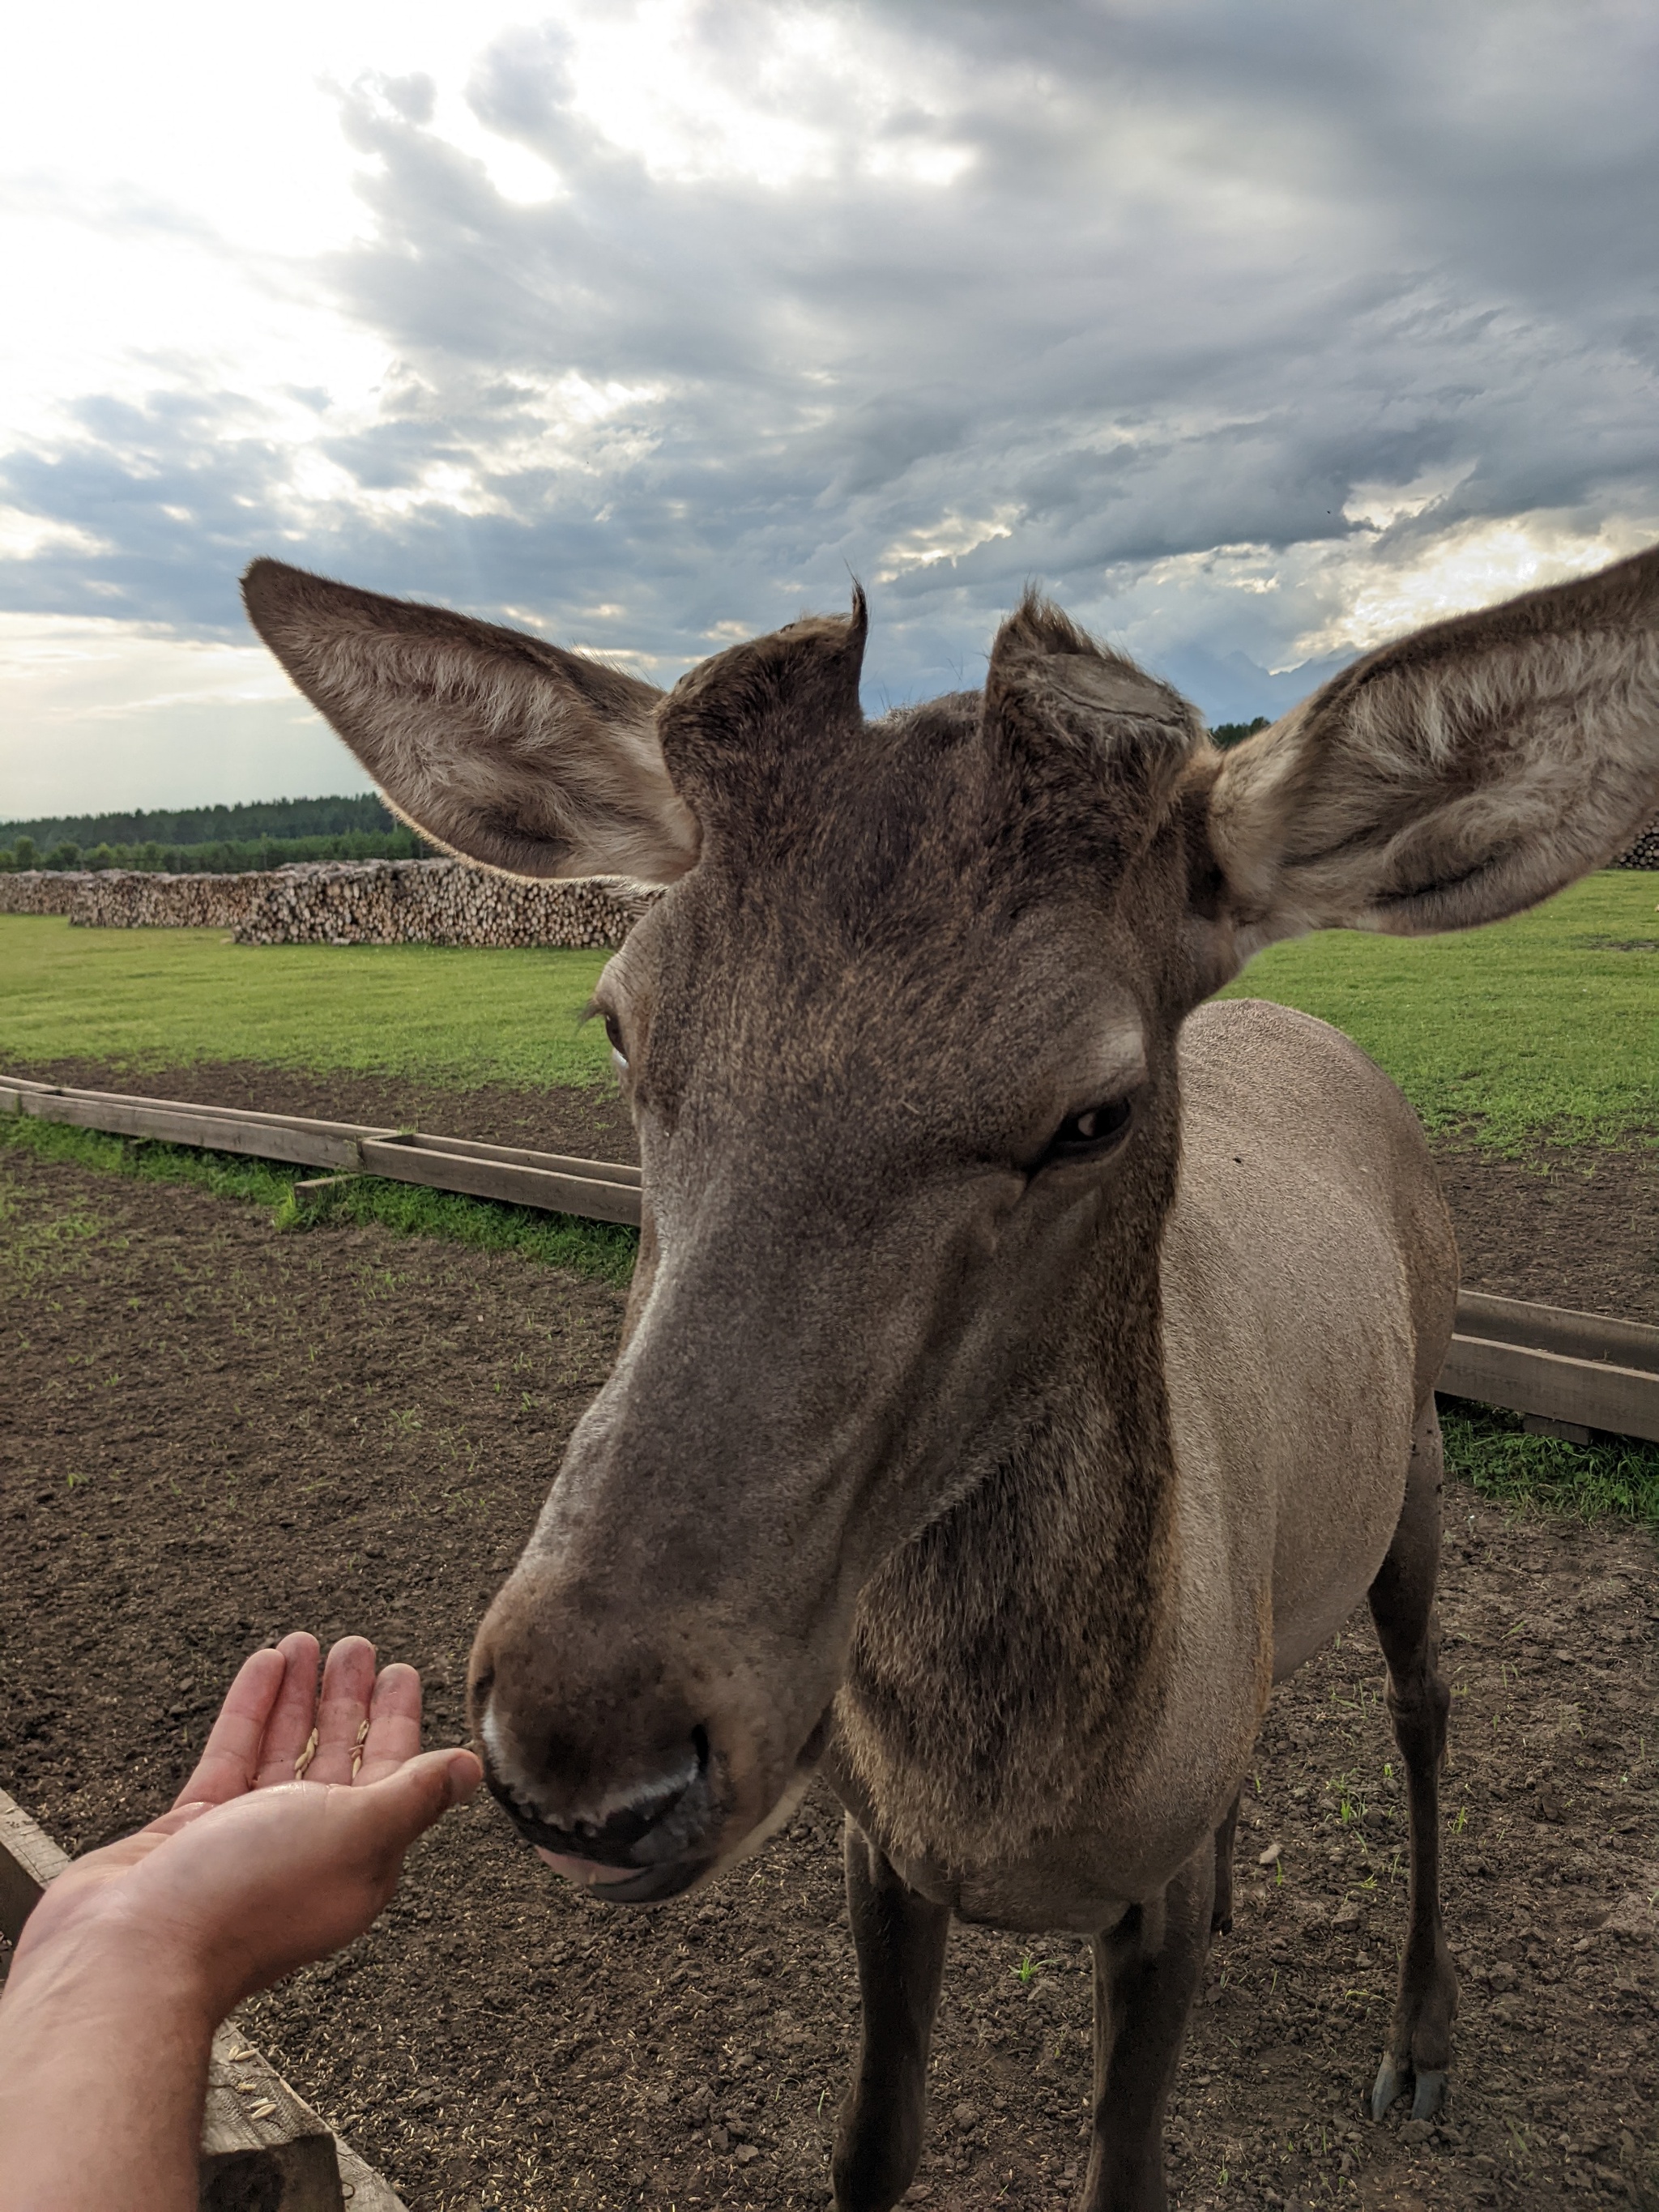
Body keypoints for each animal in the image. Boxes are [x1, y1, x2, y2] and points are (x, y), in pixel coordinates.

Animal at [243, 539, 1659, 2212]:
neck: (1005, 1809)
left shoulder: (1130, 1899)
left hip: (1421, 1448)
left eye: (1094, 1109)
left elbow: (1123, 2168)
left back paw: (1422, 2036)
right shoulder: (880, 1850)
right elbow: (870, 2139)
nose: (585, 1750)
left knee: (1425, 1701)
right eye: (617, 1026)